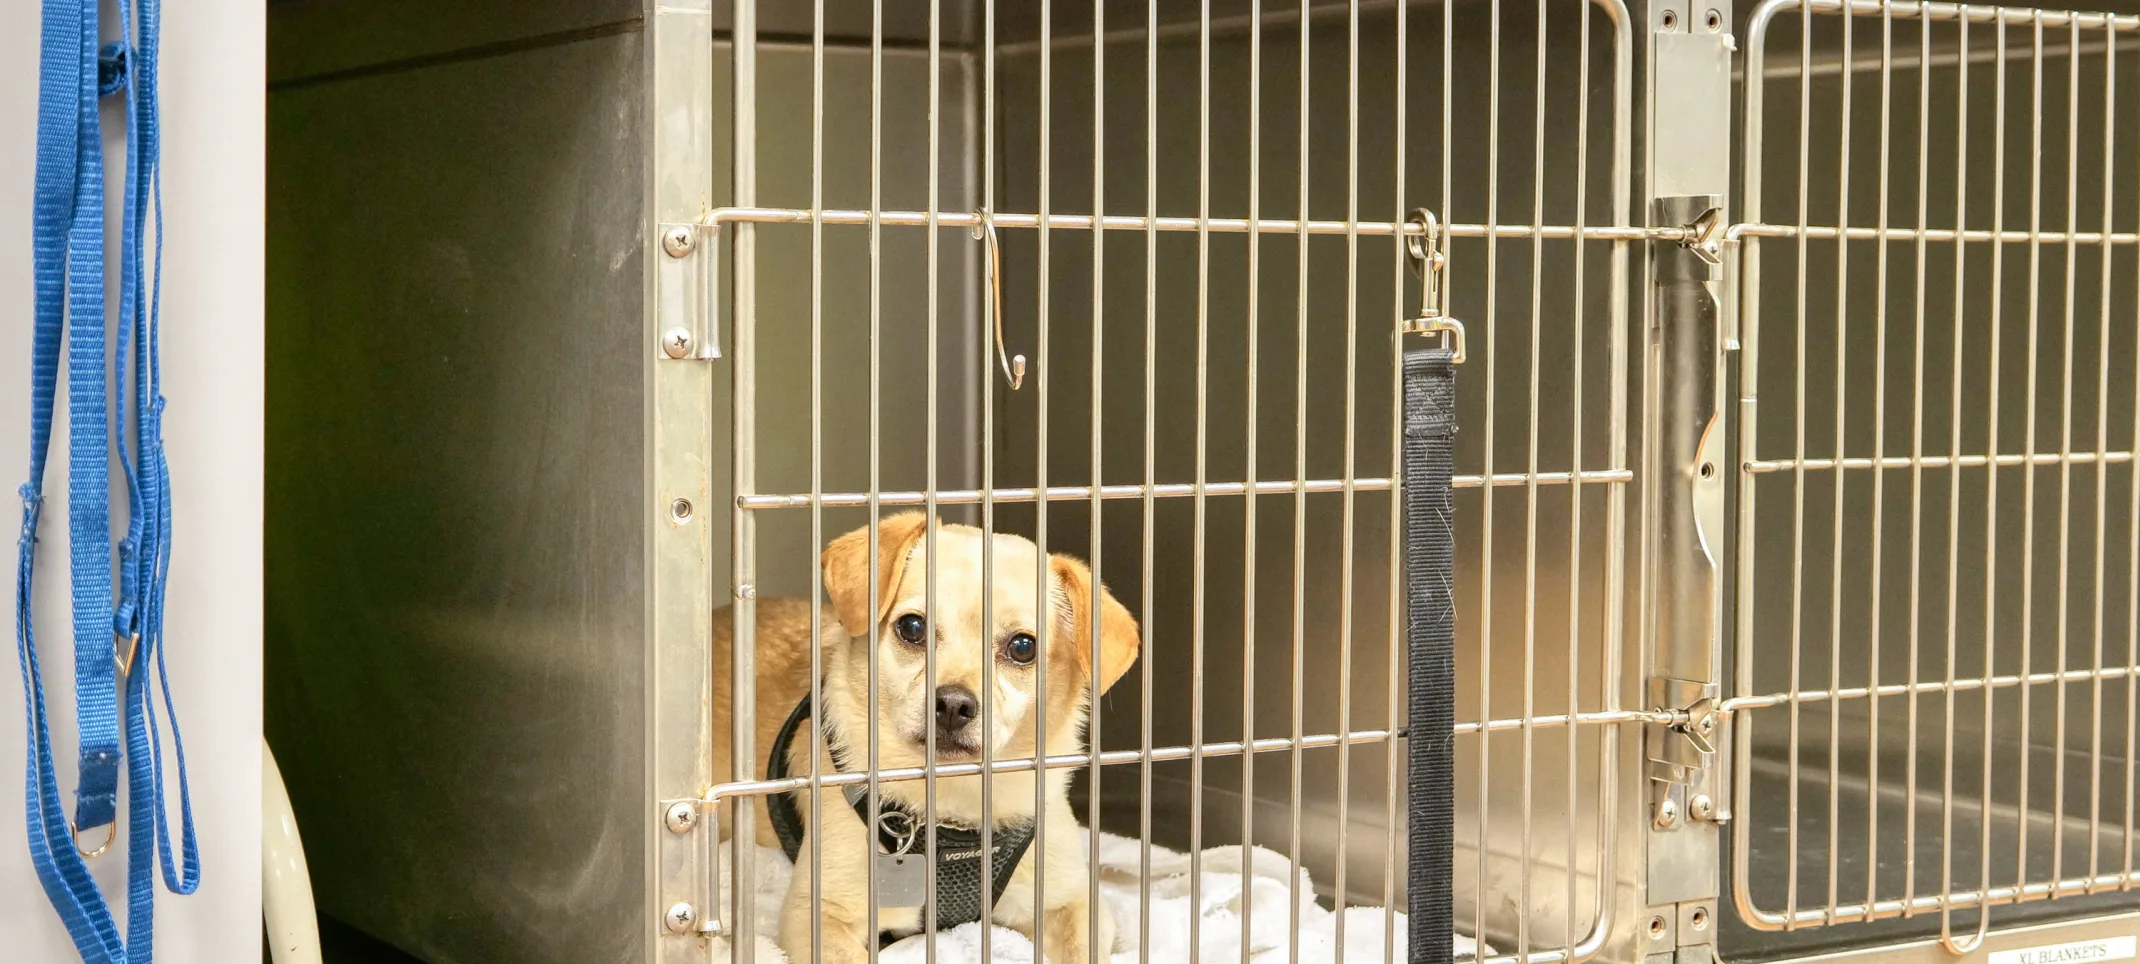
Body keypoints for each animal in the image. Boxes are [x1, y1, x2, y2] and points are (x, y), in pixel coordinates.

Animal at [714, 511, 1147, 964]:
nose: (953, 704)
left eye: (1023, 647)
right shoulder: (817, 916)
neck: (955, 809)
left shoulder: (1074, 904)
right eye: (912, 627)